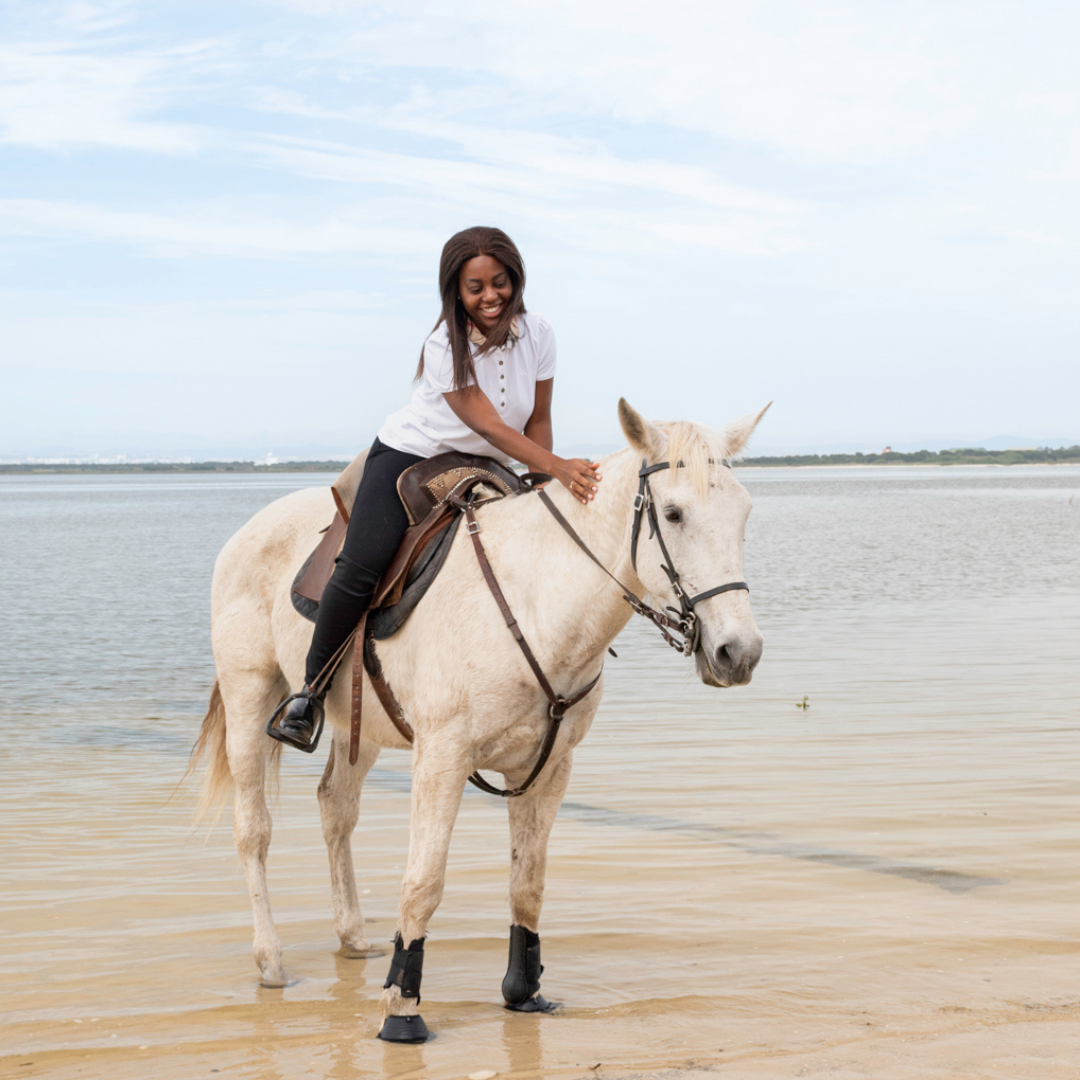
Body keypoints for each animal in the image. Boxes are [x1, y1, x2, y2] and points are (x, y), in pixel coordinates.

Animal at [192, 401, 768, 1041]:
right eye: (673, 513)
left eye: (744, 513)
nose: (738, 653)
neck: (537, 601)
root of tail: (249, 528)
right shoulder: (442, 758)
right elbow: (423, 883)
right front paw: (402, 1010)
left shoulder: (548, 767)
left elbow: (527, 883)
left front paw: (523, 993)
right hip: (249, 693)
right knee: (254, 830)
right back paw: (270, 961)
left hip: (359, 727)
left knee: (335, 809)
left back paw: (354, 936)